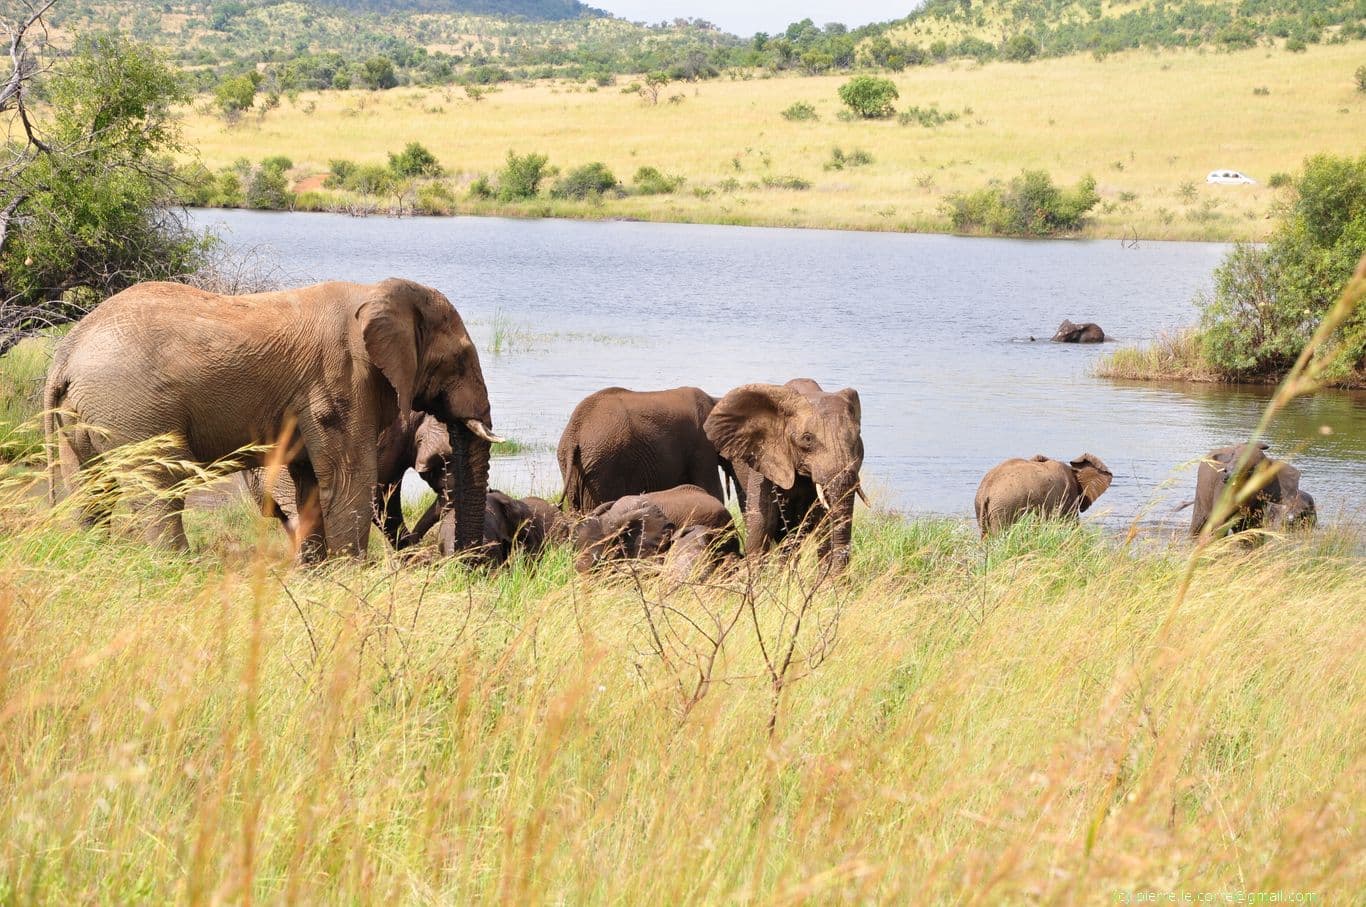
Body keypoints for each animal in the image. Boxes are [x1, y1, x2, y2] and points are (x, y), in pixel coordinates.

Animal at [42, 278, 505, 560]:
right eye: (461, 358)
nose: (466, 565)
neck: (378, 292)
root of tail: (68, 350)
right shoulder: (342, 381)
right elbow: (350, 480)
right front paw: (350, 578)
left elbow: (313, 482)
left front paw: (317, 574)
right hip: (132, 407)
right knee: (158, 489)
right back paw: (177, 566)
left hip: (85, 415)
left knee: (91, 486)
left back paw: (95, 556)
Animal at [557, 385, 743, 516]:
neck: (716, 401)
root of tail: (576, 432)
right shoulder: (701, 446)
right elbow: (712, 491)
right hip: (602, 464)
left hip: (576, 465)